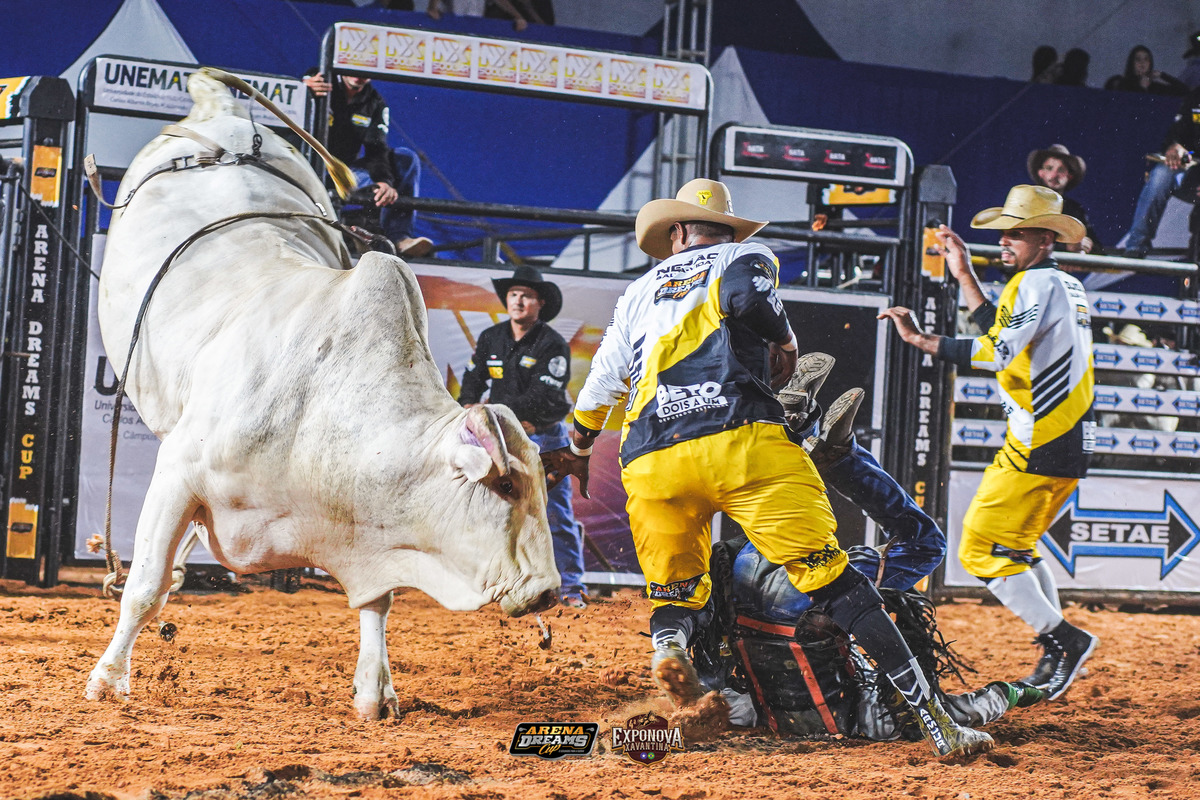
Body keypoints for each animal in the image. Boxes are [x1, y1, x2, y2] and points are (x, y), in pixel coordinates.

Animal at [85, 71, 560, 719]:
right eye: (507, 486)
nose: (549, 593)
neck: (321, 408)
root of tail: (220, 109)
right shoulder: (178, 474)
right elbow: (143, 587)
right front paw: (109, 679)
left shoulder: (370, 538)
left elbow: (378, 603)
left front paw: (375, 690)